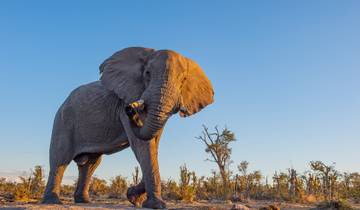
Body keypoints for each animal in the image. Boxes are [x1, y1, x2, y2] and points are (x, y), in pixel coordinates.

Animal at [42, 46, 214, 208]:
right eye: (147, 73)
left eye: (183, 79)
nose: (130, 109)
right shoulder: (125, 100)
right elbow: (143, 145)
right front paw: (155, 205)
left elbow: (153, 144)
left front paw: (134, 198)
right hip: (63, 120)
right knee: (60, 159)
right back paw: (54, 201)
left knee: (91, 164)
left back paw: (84, 201)